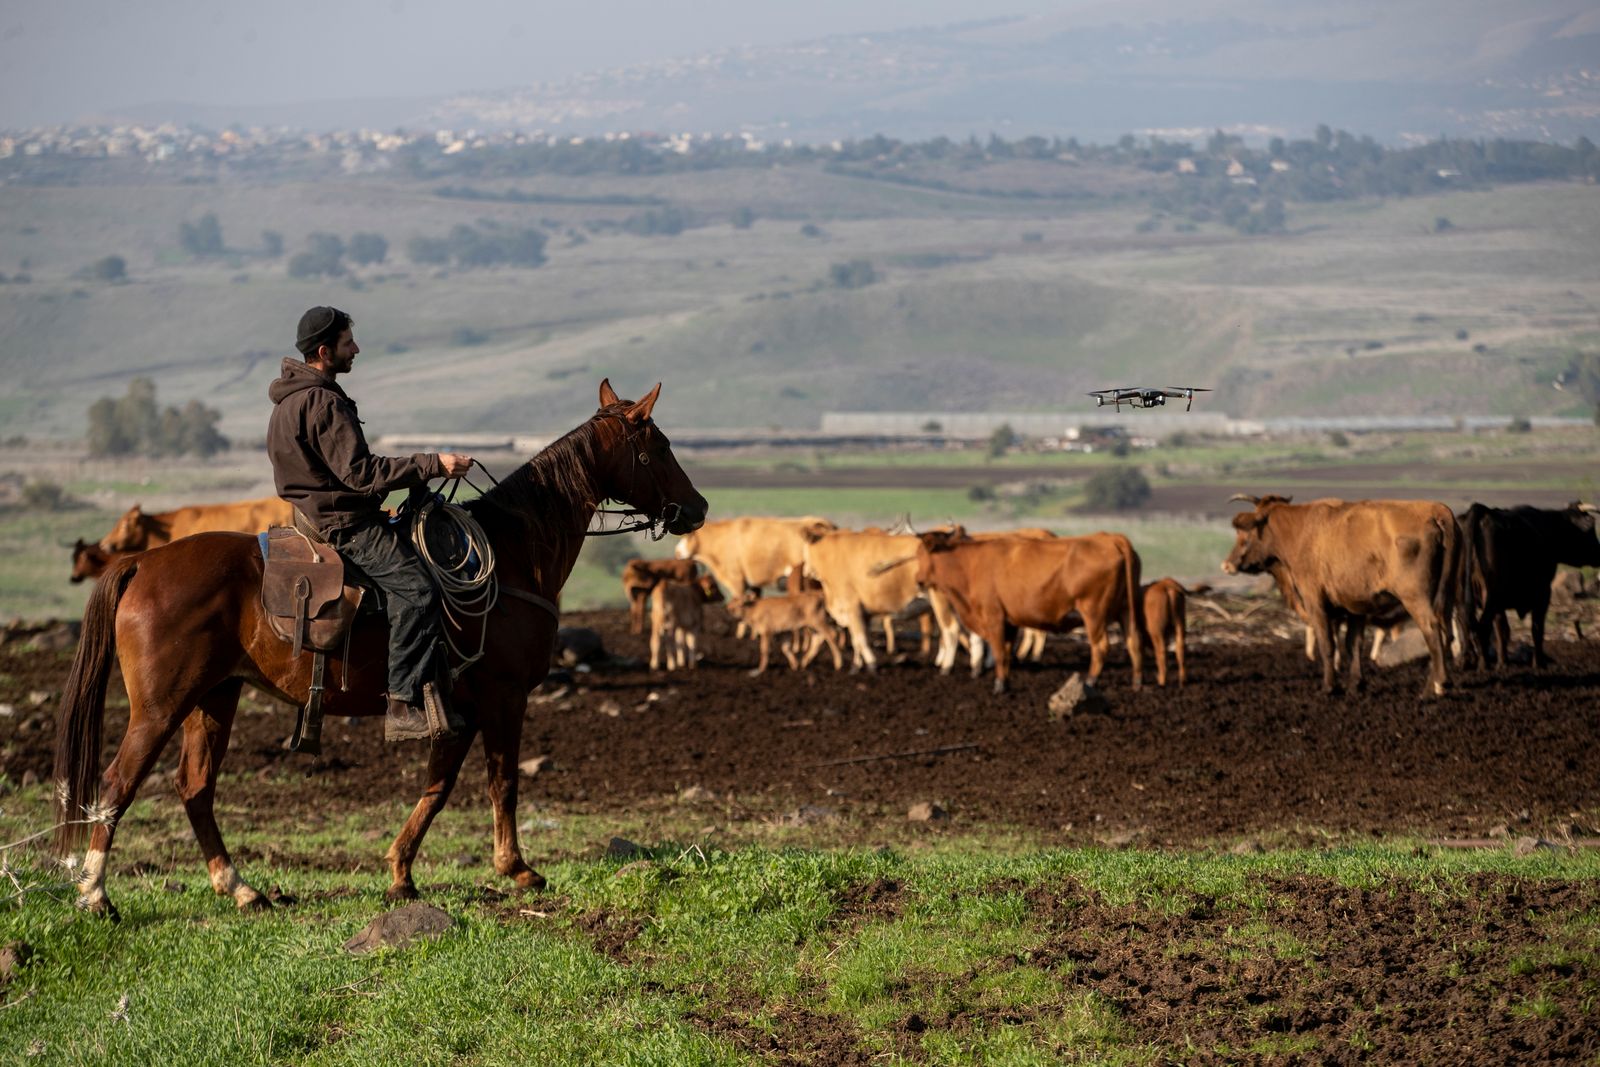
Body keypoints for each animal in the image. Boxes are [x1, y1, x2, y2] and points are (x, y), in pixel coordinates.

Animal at [56, 382, 707, 921]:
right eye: (659, 446)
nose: (698, 508)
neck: (514, 553)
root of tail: (142, 564)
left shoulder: (459, 705)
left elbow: (438, 787)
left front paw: (400, 874)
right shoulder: (504, 696)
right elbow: (501, 782)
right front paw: (517, 870)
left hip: (214, 697)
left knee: (195, 788)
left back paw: (240, 888)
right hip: (161, 706)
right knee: (116, 783)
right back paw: (96, 896)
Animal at [915, 531, 1139, 697]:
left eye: (919, 554)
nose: (918, 580)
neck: (970, 565)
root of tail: (1110, 538)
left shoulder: (994, 617)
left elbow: (998, 652)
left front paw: (999, 685)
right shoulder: (1010, 622)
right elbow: (1006, 653)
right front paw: (1005, 682)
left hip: (1093, 612)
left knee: (1100, 647)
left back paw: (1091, 681)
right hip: (1126, 610)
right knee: (1133, 644)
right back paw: (1137, 683)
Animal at [1222, 495, 1465, 700]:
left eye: (1243, 535)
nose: (1227, 564)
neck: (1300, 530)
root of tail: (1435, 509)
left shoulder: (1314, 600)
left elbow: (1327, 645)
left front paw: (1329, 687)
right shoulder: (1356, 604)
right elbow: (1353, 644)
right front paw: (1356, 685)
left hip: (1415, 597)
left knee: (1432, 630)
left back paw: (1434, 688)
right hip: (1446, 594)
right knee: (1446, 633)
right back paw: (1434, 685)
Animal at [1465, 502, 1600, 668]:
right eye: (1591, 530)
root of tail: (1484, 511)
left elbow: (1503, 629)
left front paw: (1504, 662)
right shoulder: (1543, 594)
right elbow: (1537, 629)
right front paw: (1539, 663)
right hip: (1491, 593)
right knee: (1483, 626)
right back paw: (1484, 665)